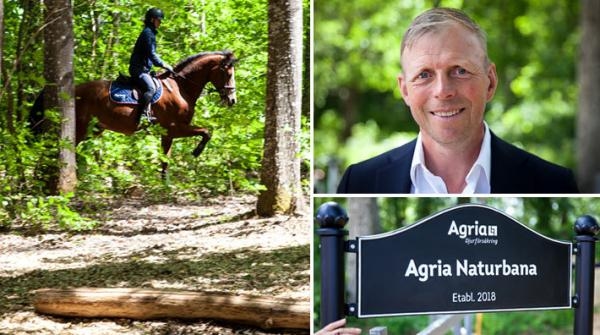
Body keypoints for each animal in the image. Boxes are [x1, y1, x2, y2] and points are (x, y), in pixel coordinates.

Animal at [31, 50, 236, 178]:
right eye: (228, 73)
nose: (232, 100)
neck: (180, 88)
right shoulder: (175, 128)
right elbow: (206, 132)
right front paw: (196, 151)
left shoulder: (167, 133)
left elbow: (165, 160)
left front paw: (164, 185)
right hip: (80, 129)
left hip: (94, 129)